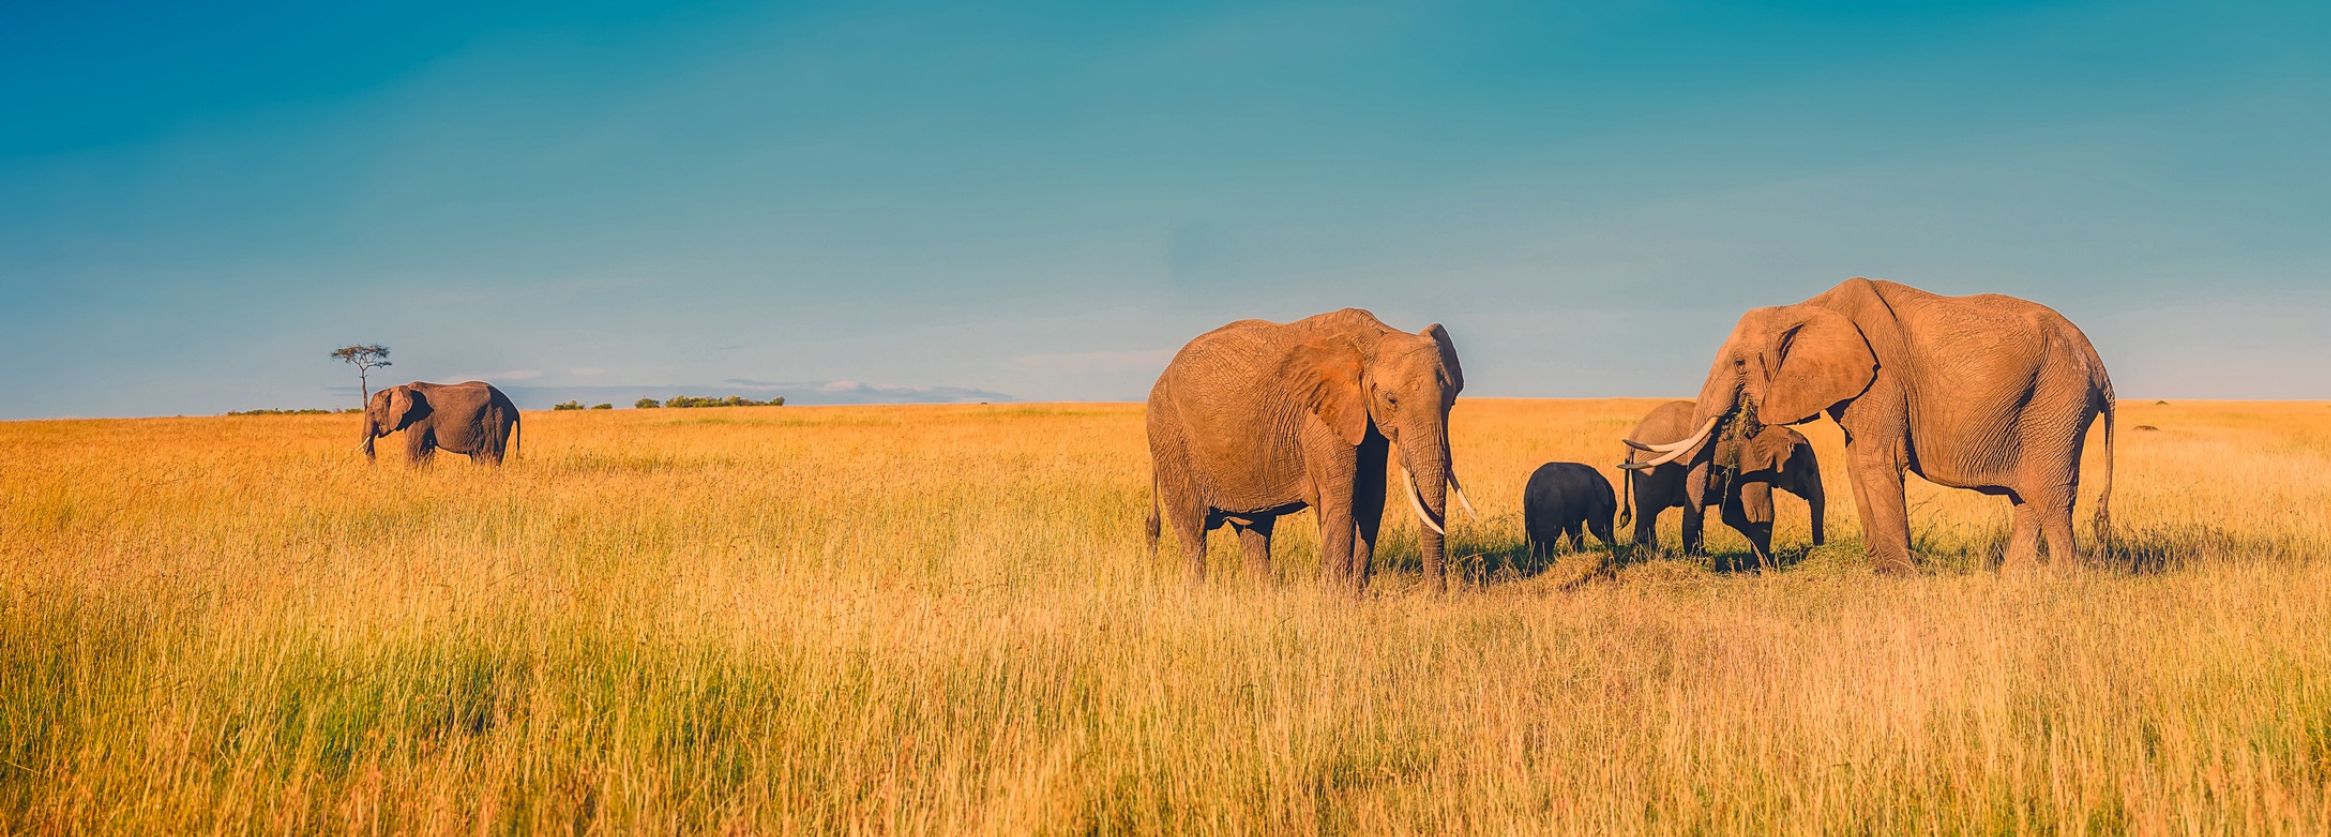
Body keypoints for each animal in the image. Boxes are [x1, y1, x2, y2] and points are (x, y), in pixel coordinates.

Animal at [361, 380, 522, 466]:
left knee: (490, 456)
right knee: (478, 457)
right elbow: (426, 452)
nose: (375, 469)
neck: (401, 387)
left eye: (373, 412)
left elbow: (413, 450)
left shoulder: (420, 417)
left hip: (495, 420)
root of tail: (513, 407)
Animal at [1146, 307, 1473, 589]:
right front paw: (1336, 599)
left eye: (1452, 402)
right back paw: (1196, 591)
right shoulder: (1318, 418)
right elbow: (1342, 496)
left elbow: (1371, 496)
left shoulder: (1364, 421)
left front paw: (1356, 595)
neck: (1374, 336)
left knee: (1254, 530)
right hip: (1170, 438)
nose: (1436, 595)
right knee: (1193, 531)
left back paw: (1264, 594)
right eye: (1392, 400)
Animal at [1622, 401, 1818, 571]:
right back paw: (1645, 557)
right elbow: (1760, 512)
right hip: (1654, 470)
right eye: (1809, 471)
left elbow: (1731, 514)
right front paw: (1767, 568)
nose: (1818, 546)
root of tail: (1634, 435)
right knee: (1648, 513)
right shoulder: (1753, 464)